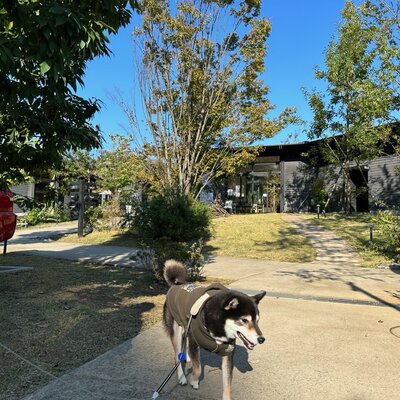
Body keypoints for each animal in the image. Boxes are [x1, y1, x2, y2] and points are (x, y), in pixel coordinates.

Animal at [162, 260, 266, 400]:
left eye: (257, 321)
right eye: (244, 320)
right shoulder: (194, 342)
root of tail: (177, 284)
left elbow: (227, 383)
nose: (261, 339)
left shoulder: (228, 354)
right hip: (176, 330)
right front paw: (194, 381)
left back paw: (187, 357)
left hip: (186, 327)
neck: (217, 329)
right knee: (177, 355)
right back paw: (182, 377)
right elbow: (198, 368)